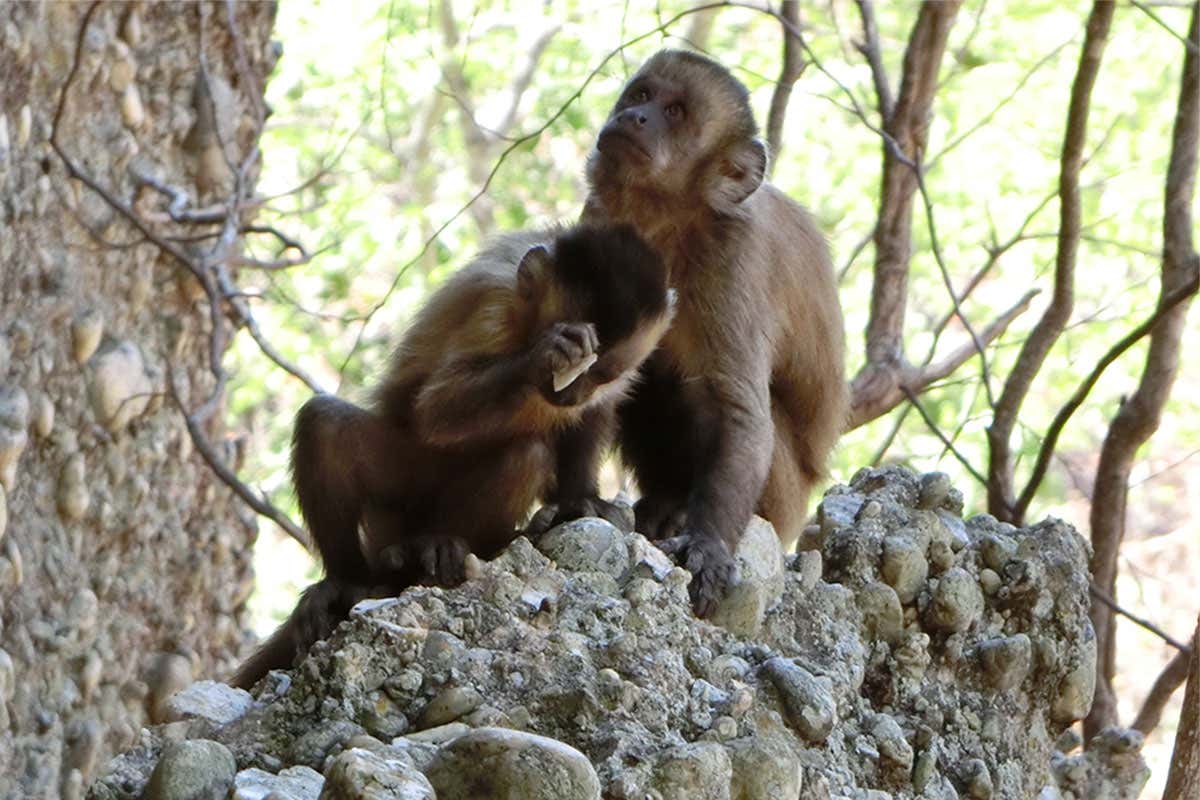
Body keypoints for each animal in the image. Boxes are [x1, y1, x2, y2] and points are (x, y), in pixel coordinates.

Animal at [230, 224, 675, 689]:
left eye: (601, 374)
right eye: (572, 366)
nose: (570, 393)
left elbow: (593, 416)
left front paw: (579, 500)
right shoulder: (493, 303)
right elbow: (435, 409)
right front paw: (543, 355)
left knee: (524, 455)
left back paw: (448, 545)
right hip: (399, 494)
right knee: (326, 424)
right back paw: (352, 580)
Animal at [582, 50, 848, 618]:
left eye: (676, 112)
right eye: (642, 95)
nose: (635, 117)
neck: (670, 225)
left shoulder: (732, 257)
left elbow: (739, 411)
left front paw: (708, 545)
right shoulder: (600, 223)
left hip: (785, 500)